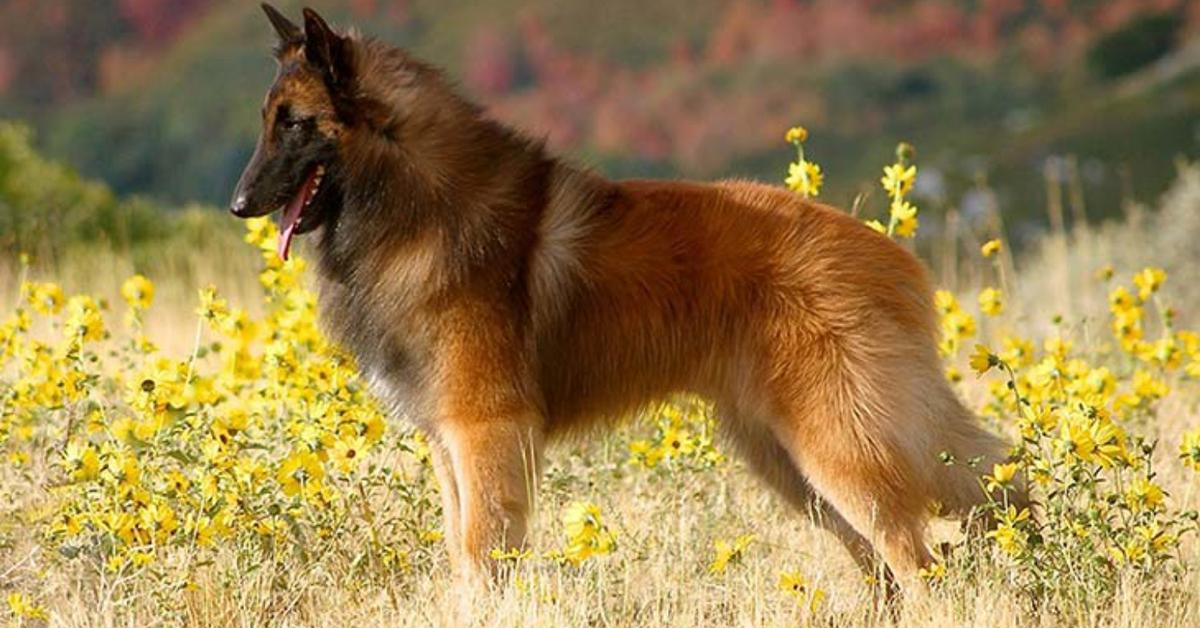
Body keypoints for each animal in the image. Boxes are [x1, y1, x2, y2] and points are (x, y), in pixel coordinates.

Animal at [226, 3, 1022, 595]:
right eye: (267, 119)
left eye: (294, 122)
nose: (237, 206)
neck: (415, 198)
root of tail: (892, 254)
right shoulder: (448, 440)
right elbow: (461, 547)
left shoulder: (486, 431)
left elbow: (482, 551)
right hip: (794, 463)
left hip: (840, 451)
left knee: (920, 557)